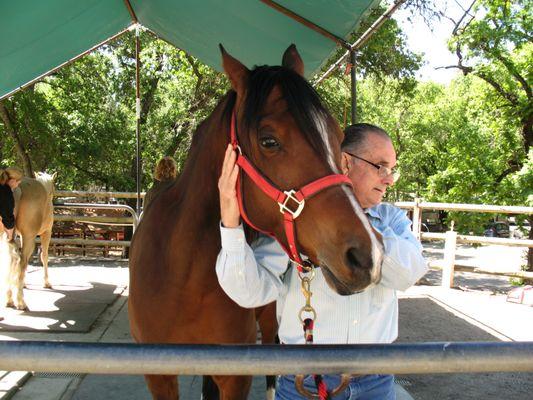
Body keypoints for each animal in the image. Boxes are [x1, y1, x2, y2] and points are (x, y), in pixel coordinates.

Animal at [5, 172, 55, 310]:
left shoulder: (20, 235)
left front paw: (23, 284)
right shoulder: (46, 233)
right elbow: (44, 256)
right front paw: (47, 282)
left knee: (13, 259)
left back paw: (10, 299)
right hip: (30, 237)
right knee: (21, 261)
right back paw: (20, 302)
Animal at [128, 45, 378, 398]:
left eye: (338, 135)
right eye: (268, 141)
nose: (366, 256)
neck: (182, 274)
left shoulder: (236, 374)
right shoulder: (158, 375)